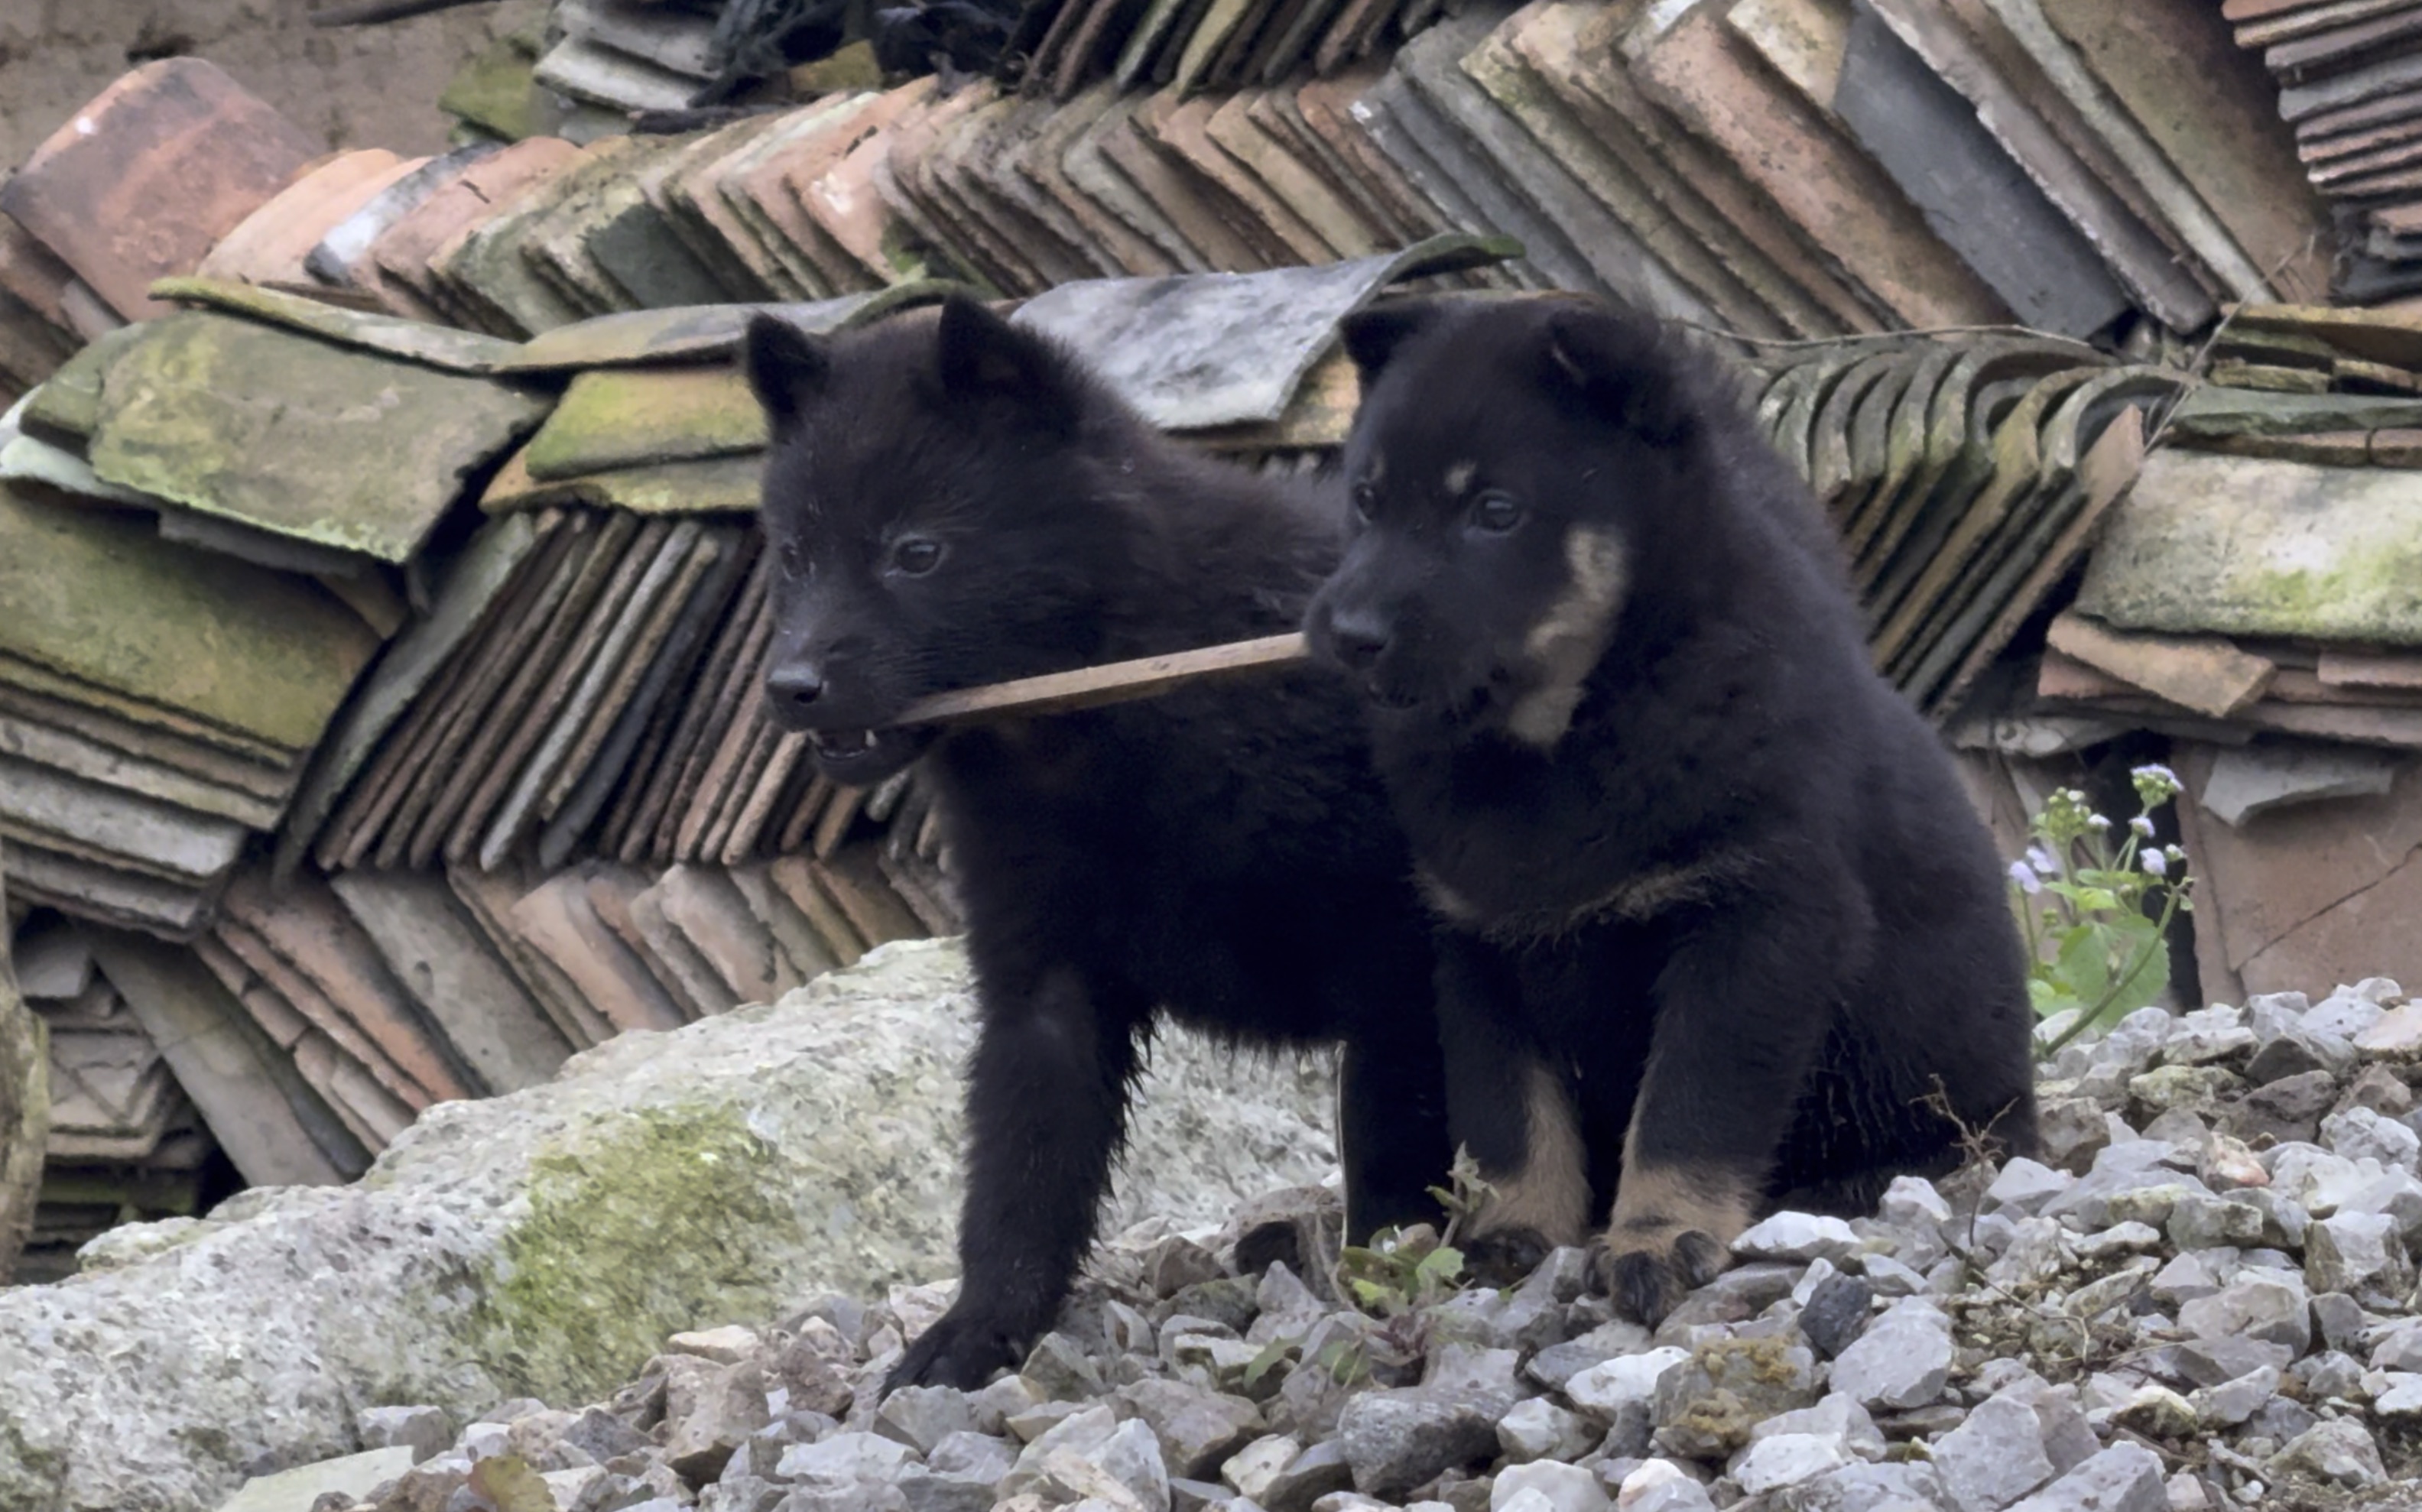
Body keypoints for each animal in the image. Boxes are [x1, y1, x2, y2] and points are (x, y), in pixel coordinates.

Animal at [745, 295, 1443, 1395]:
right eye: (793, 555)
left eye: (916, 552)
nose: (792, 687)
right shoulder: (1041, 976)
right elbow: (1023, 1168)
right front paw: (975, 1332)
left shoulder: (1400, 955)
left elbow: (1393, 1134)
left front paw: (1393, 1276)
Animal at [1307, 291, 2044, 1318]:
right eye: (1368, 500)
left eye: (1496, 512)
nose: (1349, 635)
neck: (1568, 734)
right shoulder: (1480, 945)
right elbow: (1509, 1116)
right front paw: (1515, 1235)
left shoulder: (1756, 923)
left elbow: (1689, 1108)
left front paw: (1657, 1238)